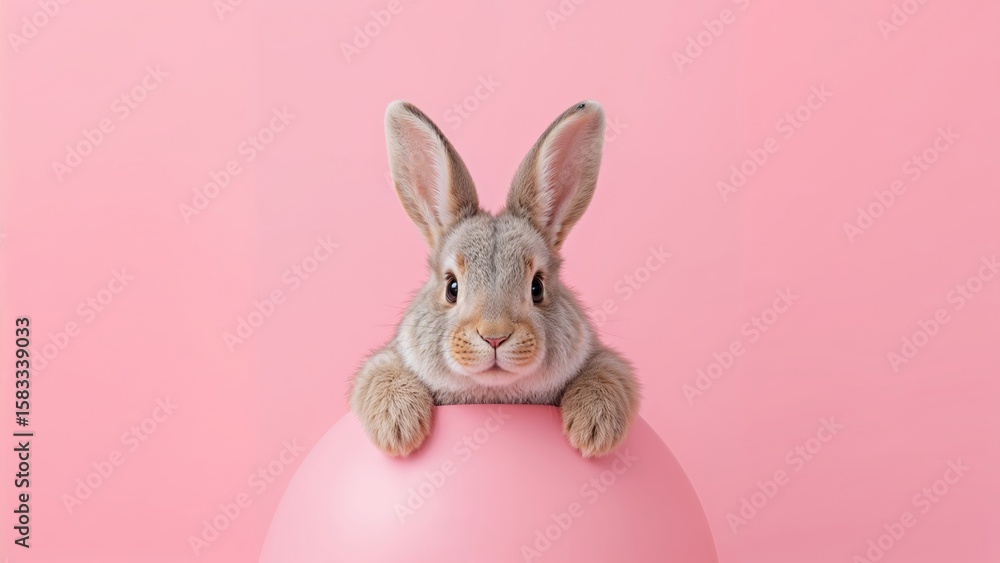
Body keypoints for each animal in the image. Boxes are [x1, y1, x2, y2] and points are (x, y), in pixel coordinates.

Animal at [349, 100, 640, 458]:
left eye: (537, 287)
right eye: (451, 287)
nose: (495, 337)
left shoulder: (606, 362)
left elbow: (606, 377)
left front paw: (594, 432)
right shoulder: (382, 363)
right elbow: (380, 377)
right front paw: (398, 430)